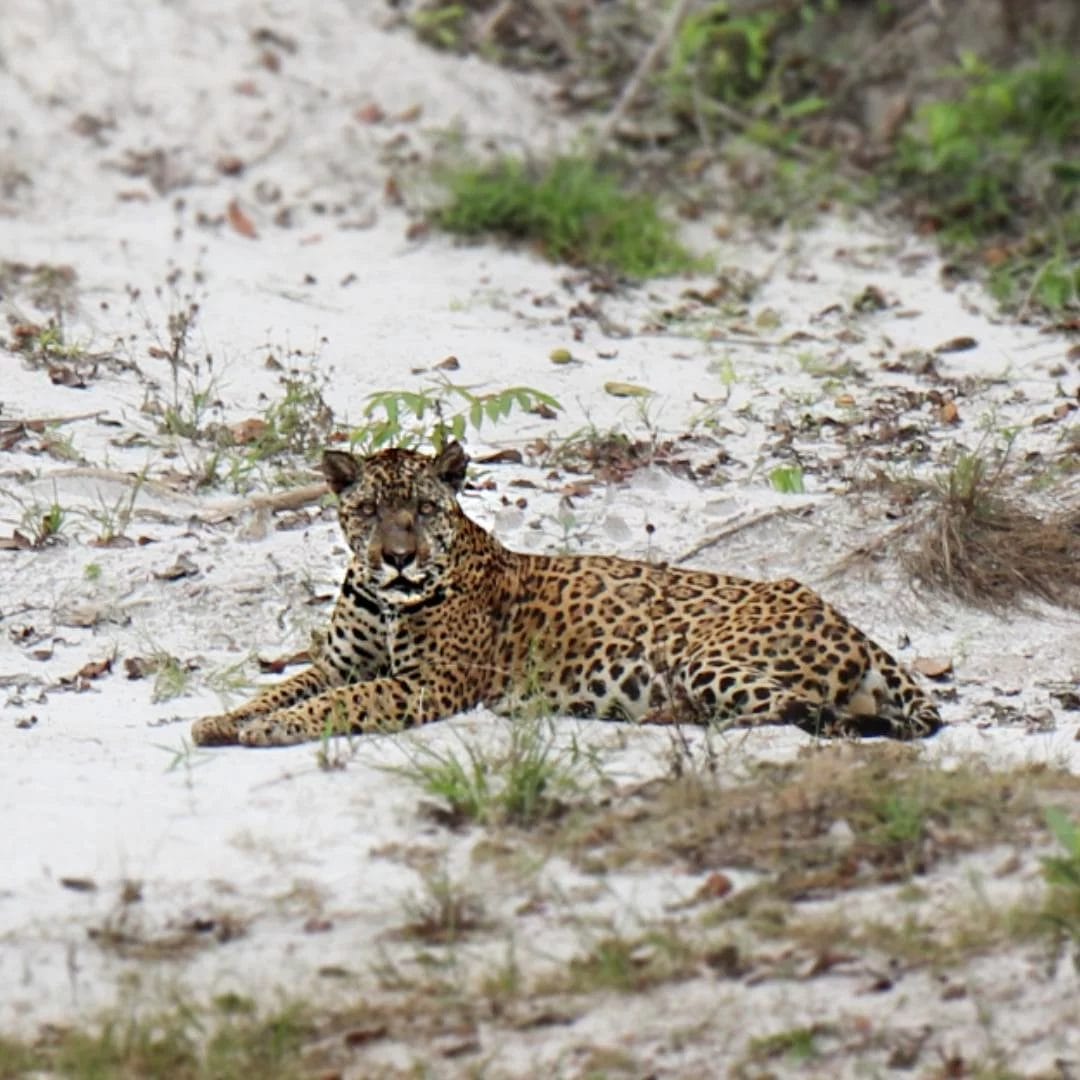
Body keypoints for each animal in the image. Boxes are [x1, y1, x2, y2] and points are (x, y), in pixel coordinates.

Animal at [191, 441, 942, 748]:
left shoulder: (429, 684)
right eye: (371, 511)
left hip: (711, 659)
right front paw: (222, 720)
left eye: (426, 510)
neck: (385, 600)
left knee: (800, 713)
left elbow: (344, 703)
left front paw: (269, 730)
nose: (399, 559)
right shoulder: (338, 663)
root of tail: (847, 621)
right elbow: (284, 688)